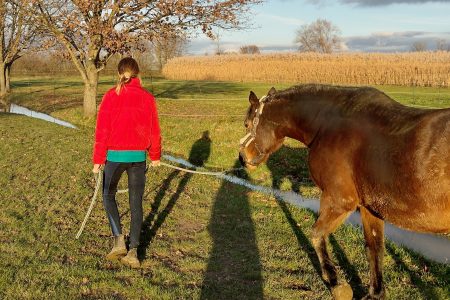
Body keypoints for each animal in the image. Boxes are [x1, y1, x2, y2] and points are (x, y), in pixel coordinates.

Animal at [237, 84, 448, 300]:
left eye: (247, 124)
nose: (242, 157)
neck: (328, 124)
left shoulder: (339, 201)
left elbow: (317, 234)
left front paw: (336, 283)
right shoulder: (369, 208)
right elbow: (374, 248)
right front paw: (375, 293)